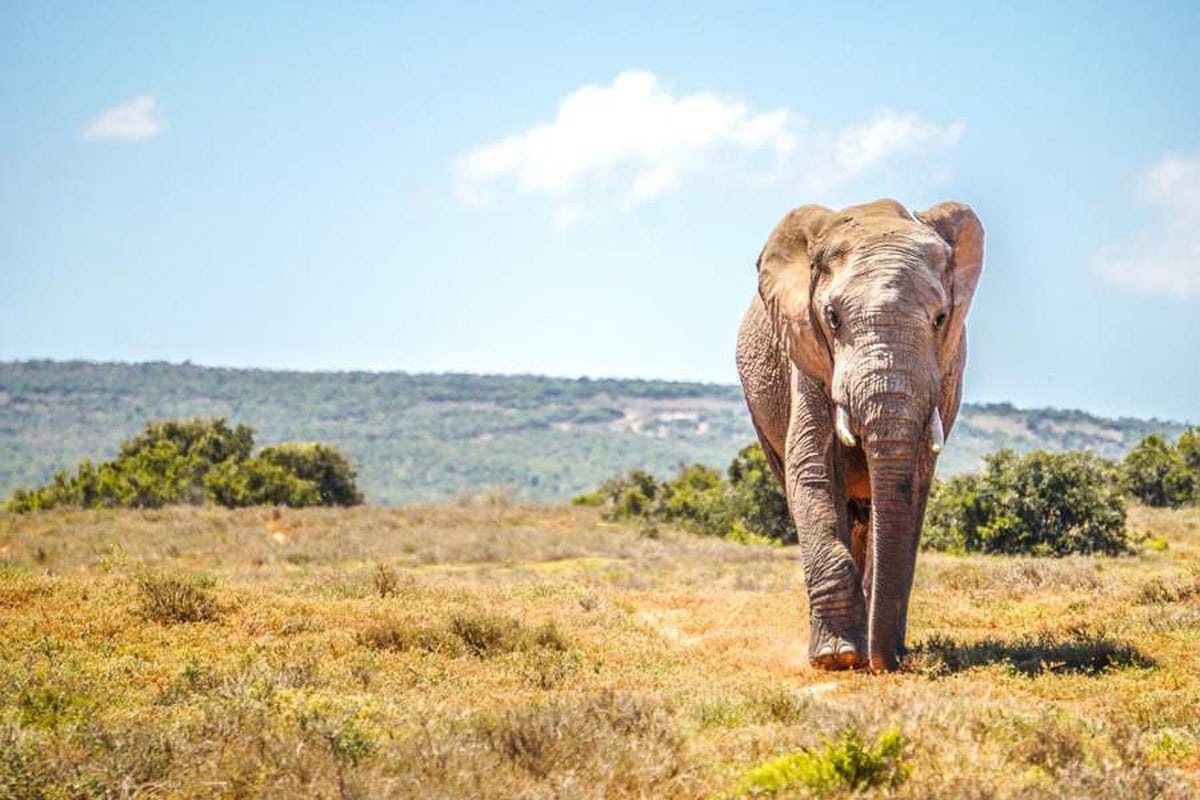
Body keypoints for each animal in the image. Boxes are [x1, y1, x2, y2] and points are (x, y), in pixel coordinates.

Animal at [736, 198, 984, 672]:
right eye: (832, 319)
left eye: (940, 319)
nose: (888, 662)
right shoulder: (807, 355)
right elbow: (810, 470)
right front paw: (837, 660)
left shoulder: (945, 372)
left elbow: (914, 484)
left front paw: (875, 650)